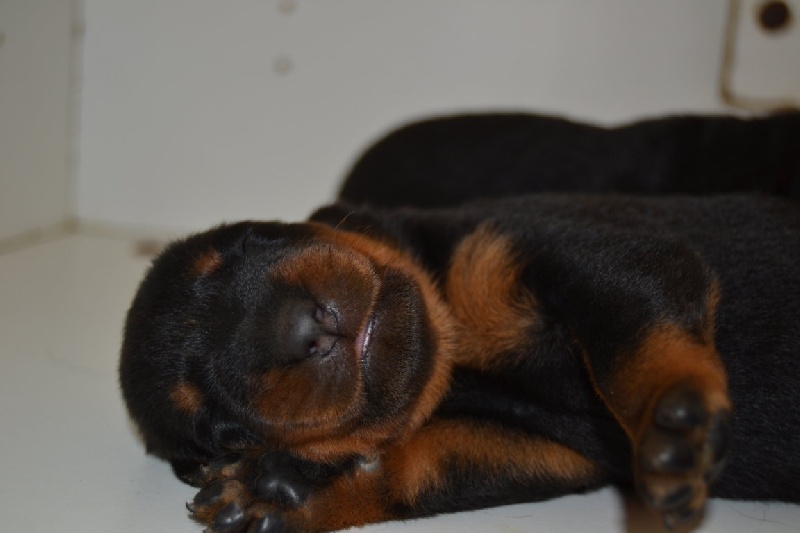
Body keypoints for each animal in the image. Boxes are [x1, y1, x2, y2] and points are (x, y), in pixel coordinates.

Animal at [120, 190, 800, 531]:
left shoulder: (614, 257)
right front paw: (292, 492)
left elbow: (638, 340)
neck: (458, 356)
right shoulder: (564, 451)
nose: (300, 330)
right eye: (222, 433)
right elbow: (422, 464)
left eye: (248, 243)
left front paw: (675, 427)